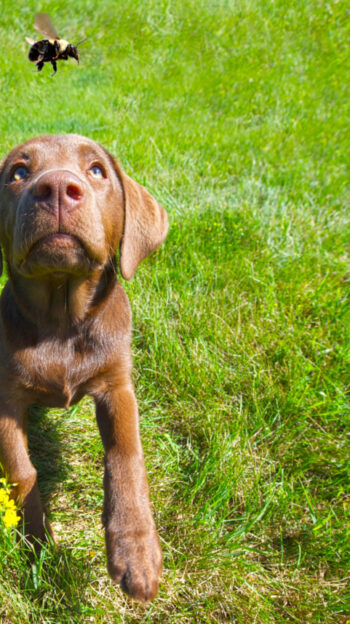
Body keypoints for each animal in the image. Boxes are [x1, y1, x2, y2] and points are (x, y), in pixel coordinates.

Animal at [0, 134, 168, 604]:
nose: (56, 187)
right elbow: (22, 471)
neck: (61, 321)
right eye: (18, 172)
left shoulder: (117, 386)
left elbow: (126, 456)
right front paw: (37, 543)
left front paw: (136, 550)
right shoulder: (6, 401)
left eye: (96, 171)